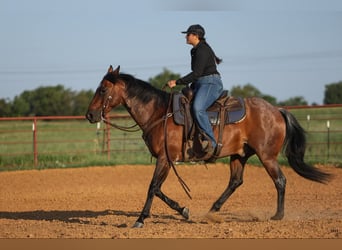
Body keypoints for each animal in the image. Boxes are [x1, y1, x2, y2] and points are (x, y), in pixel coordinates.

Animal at [85, 65, 332, 229]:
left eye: (103, 90)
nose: (90, 115)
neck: (159, 113)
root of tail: (277, 110)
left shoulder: (165, 158)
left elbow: (153, 187)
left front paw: (140, 219)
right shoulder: (167, 160)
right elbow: (158, 189)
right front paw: (184, 210)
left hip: (267, 156)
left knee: (280, 180)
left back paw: (278, 216)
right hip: (240, 155)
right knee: (235, 181)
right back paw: (213, 210)